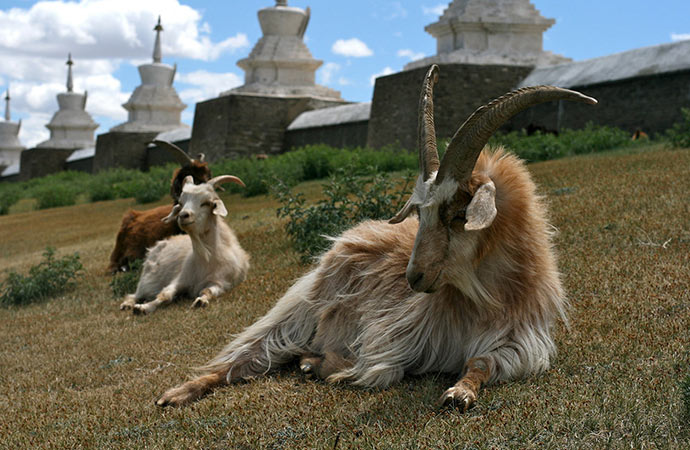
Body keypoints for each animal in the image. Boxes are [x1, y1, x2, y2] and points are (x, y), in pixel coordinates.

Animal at [119, 174, 250, 314]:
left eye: (206, 203)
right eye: (181, 203)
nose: (183, 215)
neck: (206, 260)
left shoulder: (221, 282)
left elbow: (207, 291)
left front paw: (200, 301)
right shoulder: (180, 278)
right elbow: (165, 295)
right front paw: (143, 307)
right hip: (145, 281)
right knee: (135, 294)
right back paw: (127, 304)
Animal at [156, 66, 596, 412]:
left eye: (458, 215)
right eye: (420, 213)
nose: (413, 277)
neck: (480, 300)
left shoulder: (522, 341)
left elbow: (482, 364)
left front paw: (459, 393)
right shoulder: (392, 334)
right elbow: (385, 370)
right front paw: (328, 369)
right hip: (301, 309)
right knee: (249, 354)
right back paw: (177, 393)